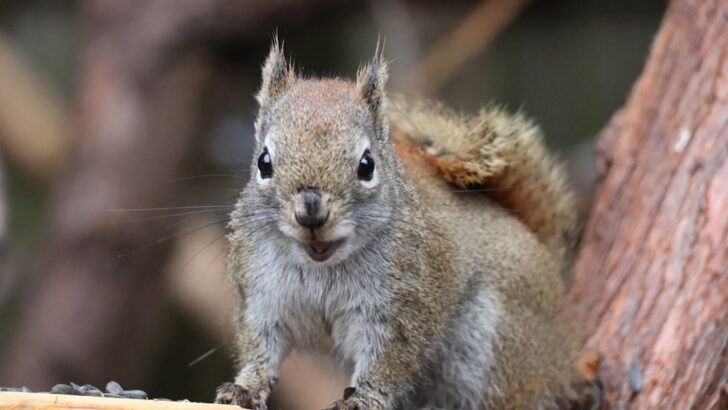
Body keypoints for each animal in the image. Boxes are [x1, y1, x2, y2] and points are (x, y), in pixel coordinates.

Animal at [215, 39, 597, 410]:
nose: (311, 211)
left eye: (367, 165)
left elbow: (387, 361)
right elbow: (261, 347)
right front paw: (244, 388)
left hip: (493, 345)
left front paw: (363, 400)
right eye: (264, 162)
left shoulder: (403, 308)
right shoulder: (261, 295)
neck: (323, 266)